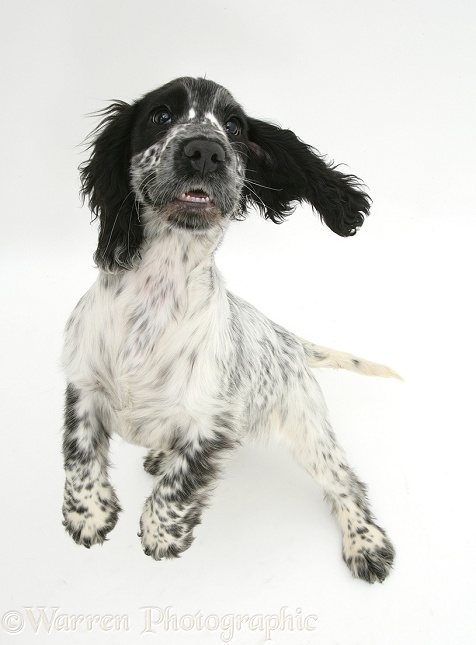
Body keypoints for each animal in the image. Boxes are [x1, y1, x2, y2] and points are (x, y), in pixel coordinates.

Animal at [63, 76, 398, 584]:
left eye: (235, 126)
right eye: (161, 116)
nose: (204, 150)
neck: (157, 292)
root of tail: (289, 339)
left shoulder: (209, 425)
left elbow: (176, 489)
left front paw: (162, 535)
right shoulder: (82, 385)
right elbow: (79, 457)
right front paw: (90, 514)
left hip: (307, 427)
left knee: (345, 483)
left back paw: (366, 542)